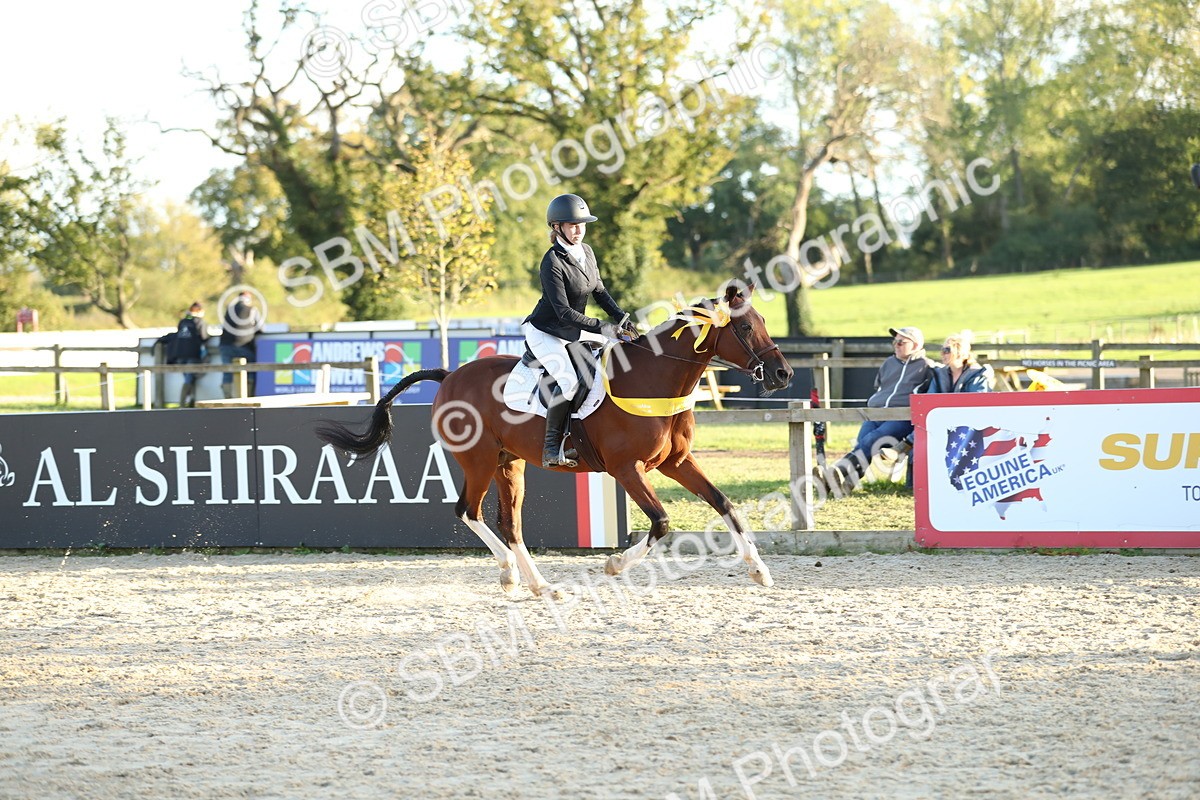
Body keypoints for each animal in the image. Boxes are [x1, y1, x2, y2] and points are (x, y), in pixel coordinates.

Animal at [316, 283, 793, 596]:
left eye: (762, 323)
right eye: (745, 329)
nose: (783, 374)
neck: (653, 379)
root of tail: (450, 375)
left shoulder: (677, 462)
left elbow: (724, 504)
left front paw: (759, 571)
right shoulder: (626, 469)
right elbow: (660, 521)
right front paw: (614, 564)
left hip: (510, 463)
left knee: (510, 524)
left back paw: (539, 585)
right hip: (479, 461)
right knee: (468, 511)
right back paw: (510, 573)